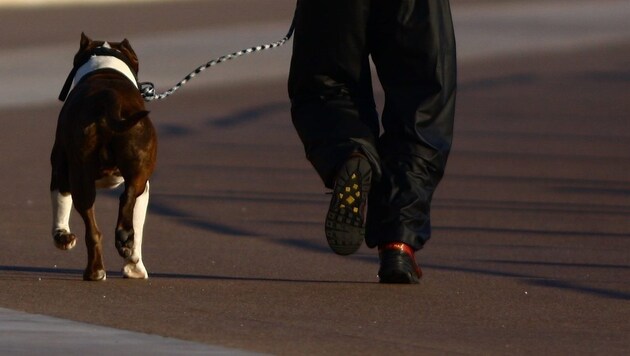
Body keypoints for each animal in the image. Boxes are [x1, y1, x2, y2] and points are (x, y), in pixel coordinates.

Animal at [52, 34, 159, 282]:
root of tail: (109, 98)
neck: (105, 66)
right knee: (127, 201)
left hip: (81, 177)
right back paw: (123, 246)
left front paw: (62, 237)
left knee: (94, 229)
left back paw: (96, 271)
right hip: (137, 172)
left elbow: (60, 205)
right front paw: (133, 265)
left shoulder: (60, 169)